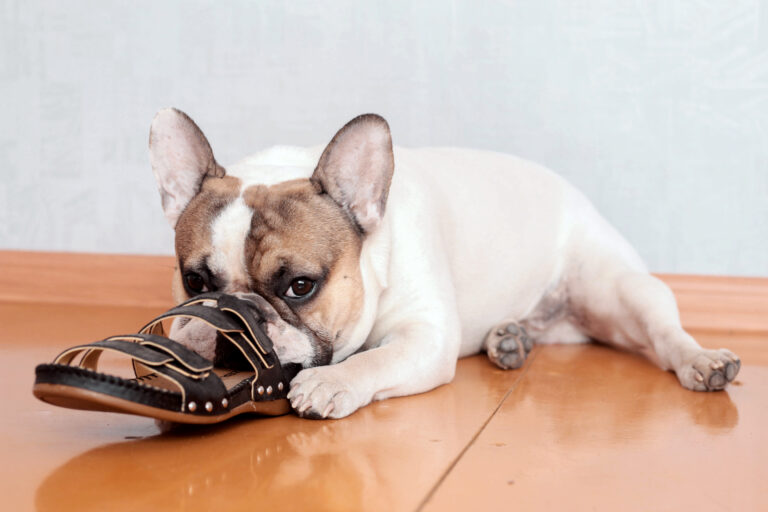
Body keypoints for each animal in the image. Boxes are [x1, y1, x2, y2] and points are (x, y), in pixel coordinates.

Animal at [147, 108, 740, 420]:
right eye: (194, 280)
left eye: (299, 286)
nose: (234, 316)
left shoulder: (425, 335)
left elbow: (375, 360)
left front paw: (330, 382)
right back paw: (511, 339)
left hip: (618, 288)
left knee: (665, 334)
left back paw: (704, 361)